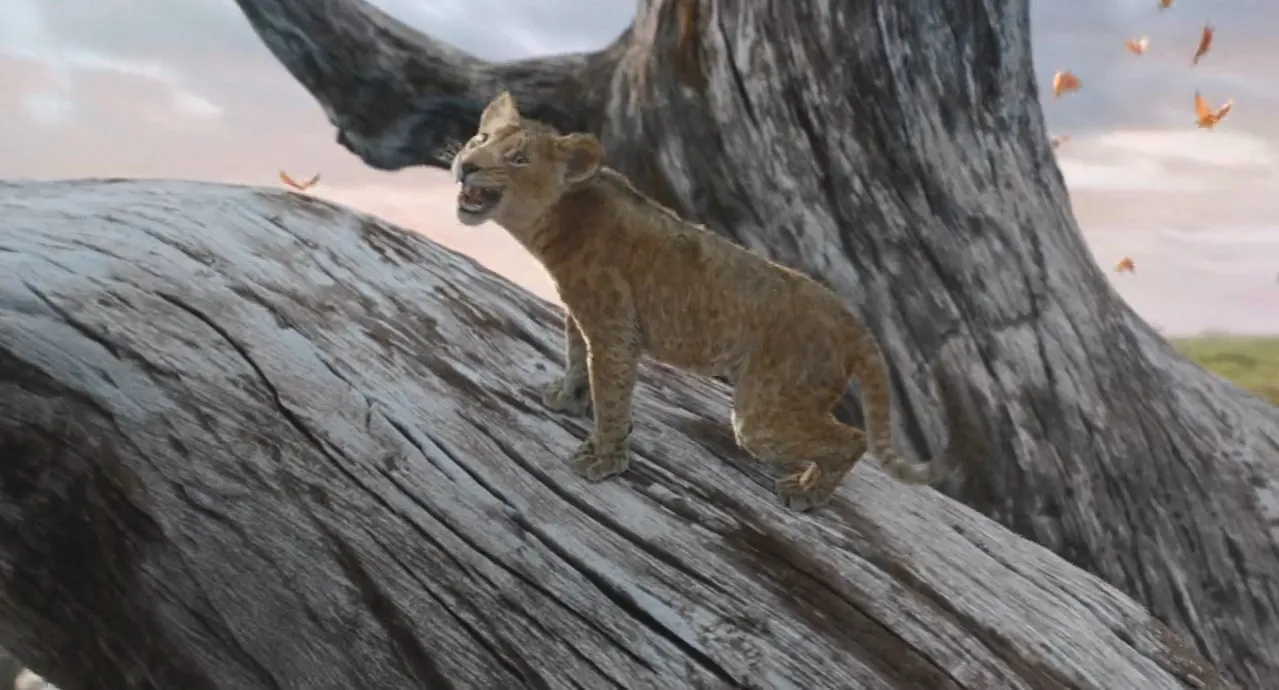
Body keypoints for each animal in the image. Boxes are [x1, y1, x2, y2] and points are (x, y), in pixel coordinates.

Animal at [449, 91, 978, 511]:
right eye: (480, 140)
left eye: (518, 158)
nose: (466, 166)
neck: (557, 221)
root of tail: (856, 323)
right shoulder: (583, 316)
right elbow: (578, 359)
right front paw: (567, 400)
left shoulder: (614, 327)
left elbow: (612, 392)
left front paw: (603, 459)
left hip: (763, 412)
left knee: (850, 438)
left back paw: (805, 494)